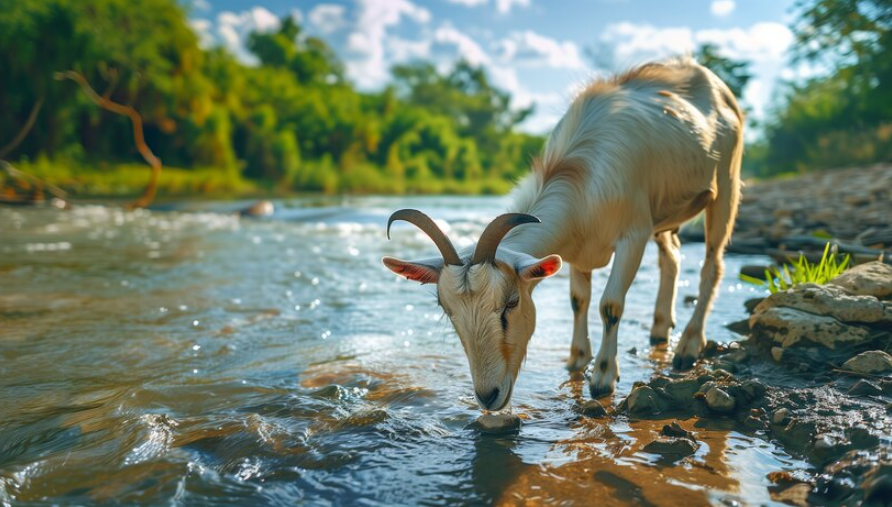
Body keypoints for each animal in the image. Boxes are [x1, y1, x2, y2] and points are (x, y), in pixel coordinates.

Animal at [386, 57, 744, 410]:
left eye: (511, 303)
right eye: (447, 310)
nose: (488, 397)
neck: (581, 179)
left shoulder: (633, 234)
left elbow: (610, 304)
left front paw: (602, 378)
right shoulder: (578, 250)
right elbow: (578, 300)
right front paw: (576, 360)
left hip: (726, 181)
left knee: (712, 264)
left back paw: (688, 347)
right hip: (665, 211)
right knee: (672, 256)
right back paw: (659, 330)